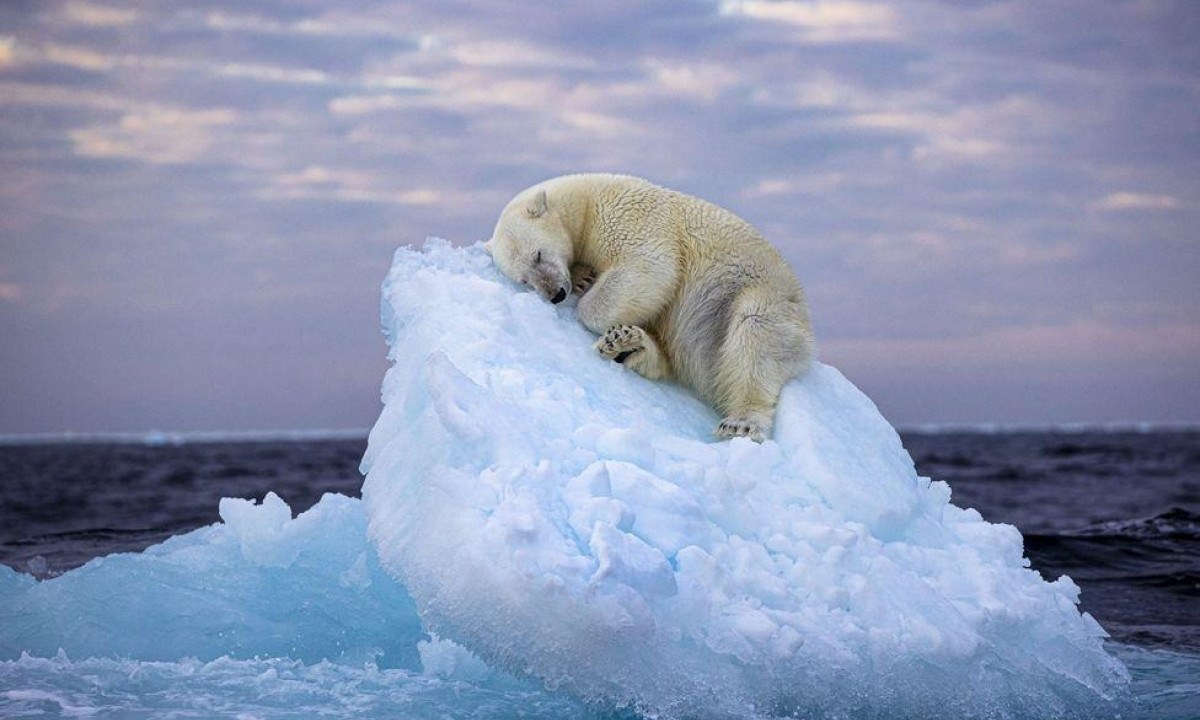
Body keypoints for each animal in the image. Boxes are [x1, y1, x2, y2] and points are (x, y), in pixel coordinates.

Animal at [487, 175, 816, 444]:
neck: (585, 202)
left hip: (759, 295)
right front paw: (584, 278)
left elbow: (650, 267)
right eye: (524, 280)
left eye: (538, 255)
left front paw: (588, 299)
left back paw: (741, 422)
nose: (555, 294)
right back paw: (627, 345)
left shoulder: (628, 217)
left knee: (755, 334)